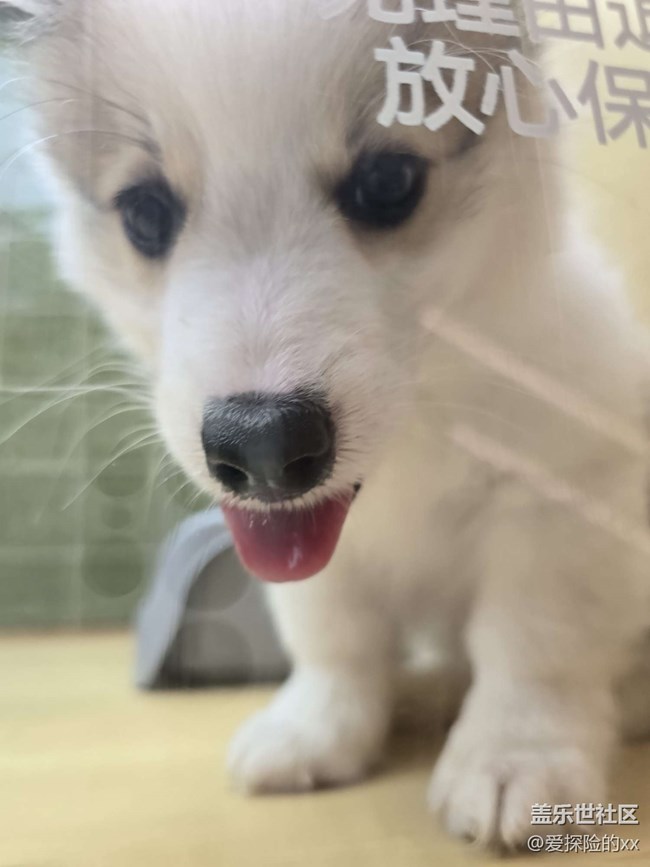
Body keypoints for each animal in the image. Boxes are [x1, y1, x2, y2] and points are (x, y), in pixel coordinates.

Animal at [5, 0, 650, 850]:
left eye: (387, 183)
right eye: (144, 212)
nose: (261, 444)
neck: (419, 429)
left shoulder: (561, 493)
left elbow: (531, 641)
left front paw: (514, 755)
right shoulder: (307, 551)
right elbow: (334, 635)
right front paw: (318, 729)